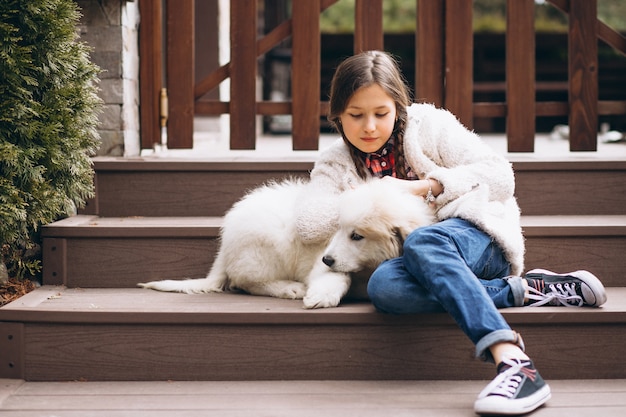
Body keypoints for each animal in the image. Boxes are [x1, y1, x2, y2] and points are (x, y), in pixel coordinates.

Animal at [140, 177, 434, 308]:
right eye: (338, 228)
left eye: (357, 236)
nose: (327, 258)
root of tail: (225, 246)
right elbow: (338, 275)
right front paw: (322, 295)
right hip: (266, 248)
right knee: (244, 282)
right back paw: (289, 288)